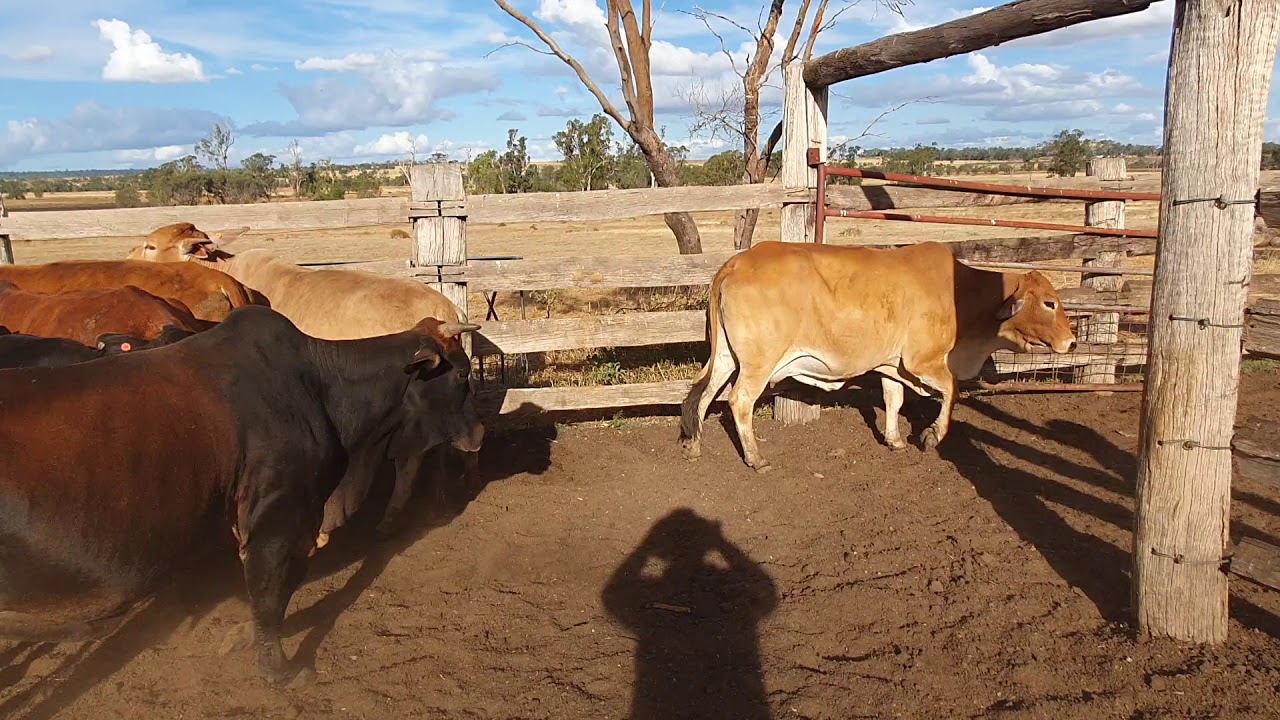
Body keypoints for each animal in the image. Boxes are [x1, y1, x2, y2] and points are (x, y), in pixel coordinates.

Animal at [0, 305, 483, 686]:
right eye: (462, 373)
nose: (478, 433)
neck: (323, 390)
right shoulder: (277, 518)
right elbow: (269, 598)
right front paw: (280, 672)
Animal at [679, 241, 1078, 472]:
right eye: (1049, 303)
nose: (1072, 342)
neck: (962, 294)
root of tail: (736, 264)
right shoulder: (922, 361)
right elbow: (951, 392)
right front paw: (930, 436)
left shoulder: (893, 366)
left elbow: (893, 399)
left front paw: (895, 440)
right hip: (758, 363)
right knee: (739, 401)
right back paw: (756, 459)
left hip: (726, 356)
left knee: (701, 393)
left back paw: (694, 444)